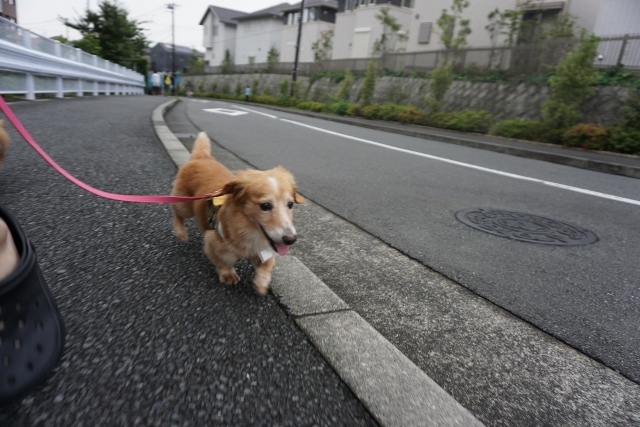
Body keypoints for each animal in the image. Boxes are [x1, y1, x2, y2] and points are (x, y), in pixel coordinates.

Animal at [171, 132, 304, 296]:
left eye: (290, 204)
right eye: (265, 206)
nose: (290, 240)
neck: (250, 231)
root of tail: (202, 157)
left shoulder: (265, 250)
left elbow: (267, 266)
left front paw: (261, 284)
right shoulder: (212, 241)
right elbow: (223, 261)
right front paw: (228, 274)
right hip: (184, 205)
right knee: (177, 213)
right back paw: (180, 232)